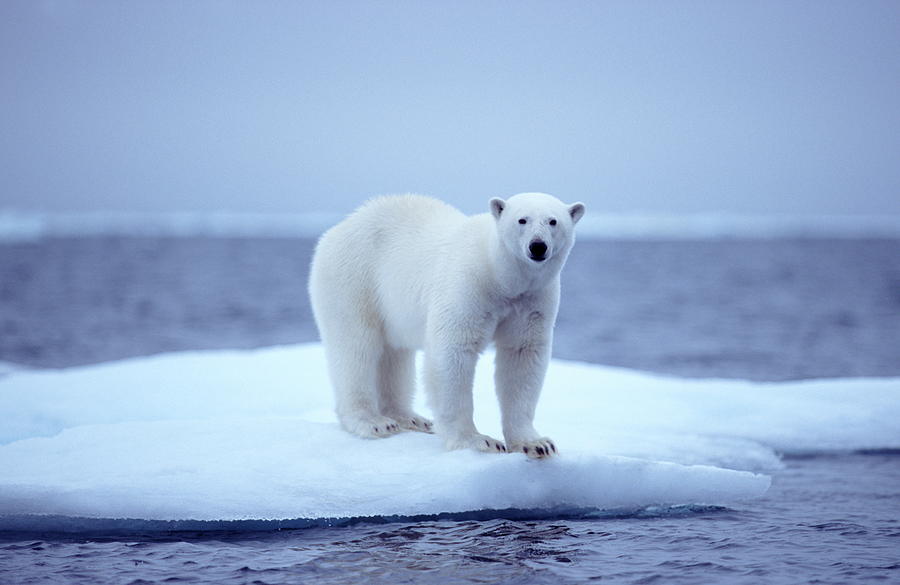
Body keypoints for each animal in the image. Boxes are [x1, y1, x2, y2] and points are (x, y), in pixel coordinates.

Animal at [310, 192, 588, 456]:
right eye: (522, 220)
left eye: (553, 221)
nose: (538, 246)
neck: (501, 275)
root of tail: (341, 227)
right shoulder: (468, 285)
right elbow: (453, 352)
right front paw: (478, 441)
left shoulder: (532, 301)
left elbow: (522, 357)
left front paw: (536, 444)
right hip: (354, 280)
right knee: (357, 348)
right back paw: (373, 421)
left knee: (394, 355)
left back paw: (410, 418)